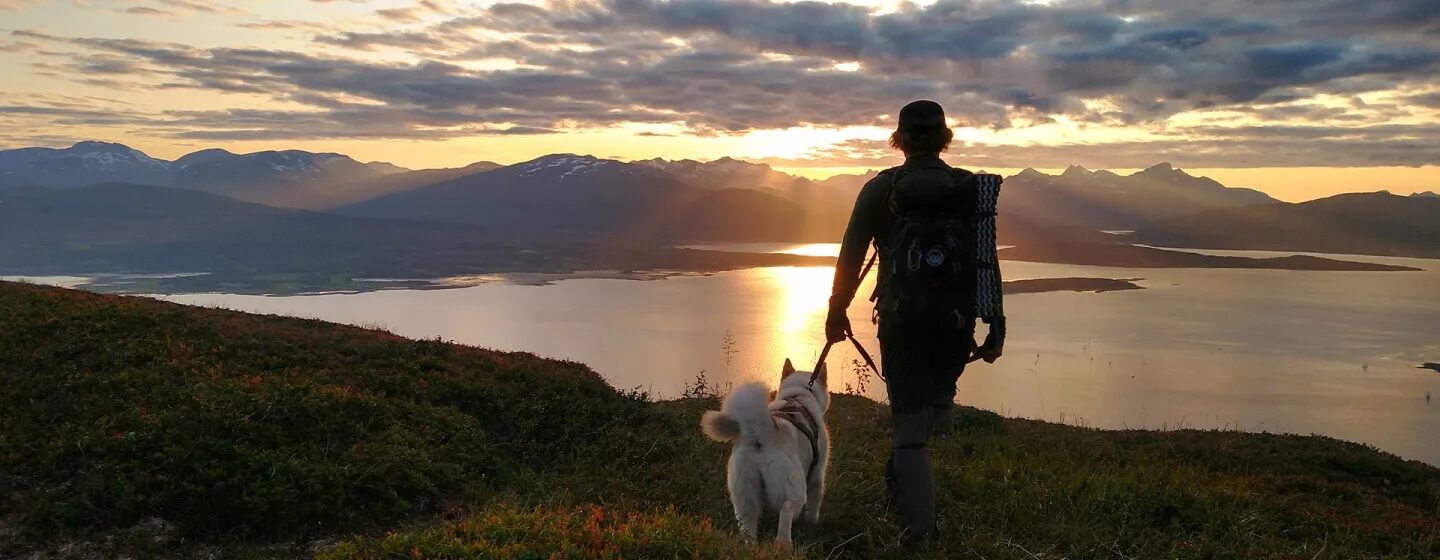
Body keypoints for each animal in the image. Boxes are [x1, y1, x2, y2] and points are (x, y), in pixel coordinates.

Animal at [699, 355, 835, 544]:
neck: (798, 396)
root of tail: (761, 432)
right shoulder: (817, 473)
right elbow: (815, 503)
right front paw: (812, 524)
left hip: (744, 495)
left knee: (748, 528)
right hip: (792, 488)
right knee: (786, 513)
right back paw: (783, 544)